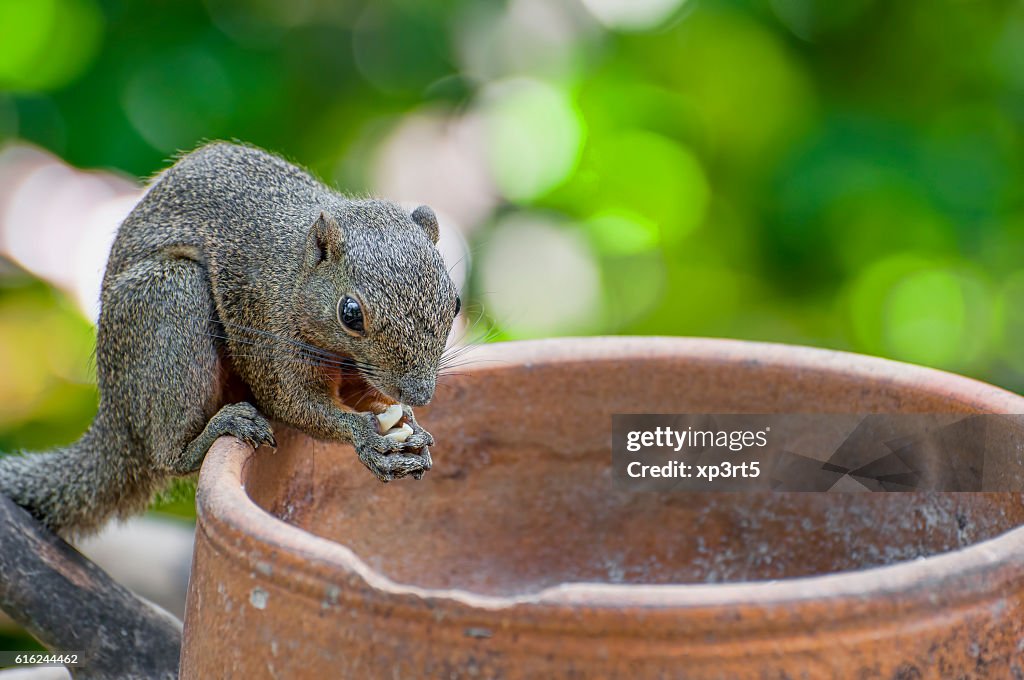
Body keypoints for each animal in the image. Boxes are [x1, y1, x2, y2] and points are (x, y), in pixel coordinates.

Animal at [0, 142, 460, 536]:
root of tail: (116, 415)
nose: (420, 394)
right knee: (168, 456)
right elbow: (293, 404)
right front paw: (366, 435)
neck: (295, 276)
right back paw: (220, 428)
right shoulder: (269, 331)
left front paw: (407, 426)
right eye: (350, 314)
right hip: (169, 302)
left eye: (454, 303)